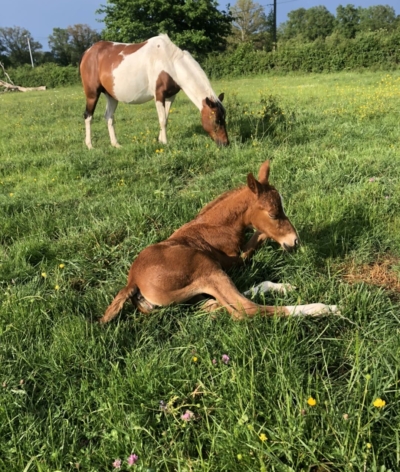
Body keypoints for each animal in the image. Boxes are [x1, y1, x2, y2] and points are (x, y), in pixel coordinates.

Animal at [80, 34, 228, 149]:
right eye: (216, 121)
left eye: (224, 118)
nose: (225, 143)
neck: (170, 63)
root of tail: (88, 52)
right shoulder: (159, 95)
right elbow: (162, 120)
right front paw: (165, 143)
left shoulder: (170, 97)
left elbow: (165, 118)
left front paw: (161, 140)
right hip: (92, 94)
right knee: (88, 116)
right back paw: (90, 145)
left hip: (111, 96)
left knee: (109, 117)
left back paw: (115, 144)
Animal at [100, 160, 338, 322]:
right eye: (273, 214)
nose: (294, 241)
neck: (217, 225)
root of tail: (133, 282)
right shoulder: (232, 259)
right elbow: (257, 238)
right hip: (208, 269)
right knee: (246, 308)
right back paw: (324, 308)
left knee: (222, 302)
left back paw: (283, 287)